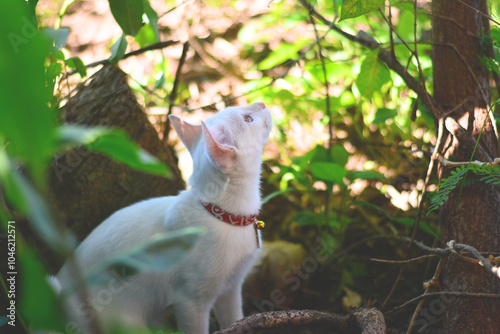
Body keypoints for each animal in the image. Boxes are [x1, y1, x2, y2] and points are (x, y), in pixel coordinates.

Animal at [55, 102, 274, 334]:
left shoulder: (231, 288)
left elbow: (234, 320)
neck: (226, 217)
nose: (261, 104)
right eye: (248, 118)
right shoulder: (189, 301)